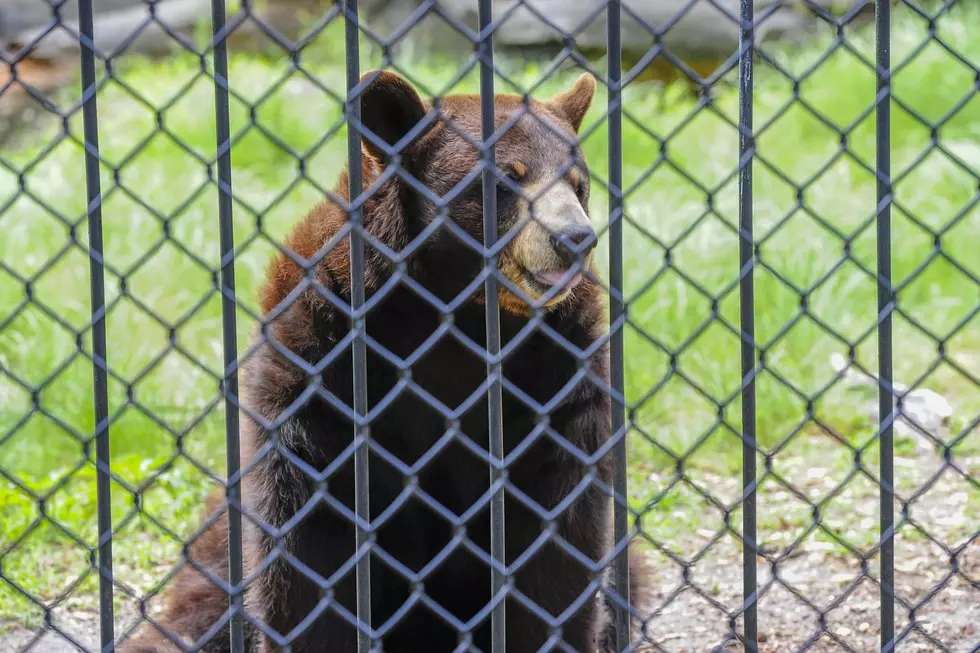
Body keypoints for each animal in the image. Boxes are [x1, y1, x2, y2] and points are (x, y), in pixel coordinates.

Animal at [120, 70, 644, 652]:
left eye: (577, 183)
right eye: (508, 179)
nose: (575, 238)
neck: (452, 311)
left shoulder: (559, 368)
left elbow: (558, 534)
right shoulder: (319, 356)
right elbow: (308, 533)